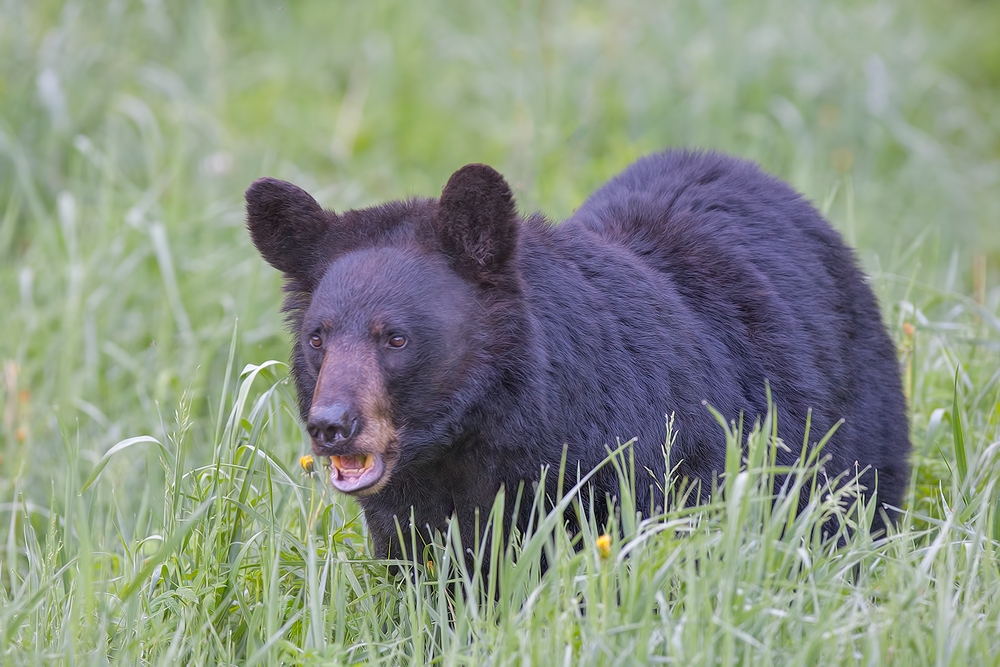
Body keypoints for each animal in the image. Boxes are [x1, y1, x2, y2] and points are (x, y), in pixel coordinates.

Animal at [246, 151, 912, 560]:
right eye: (318, 338)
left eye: (396, 338)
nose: (331, 425)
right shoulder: (409, 510)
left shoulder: (646, 461)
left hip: (856, 436)